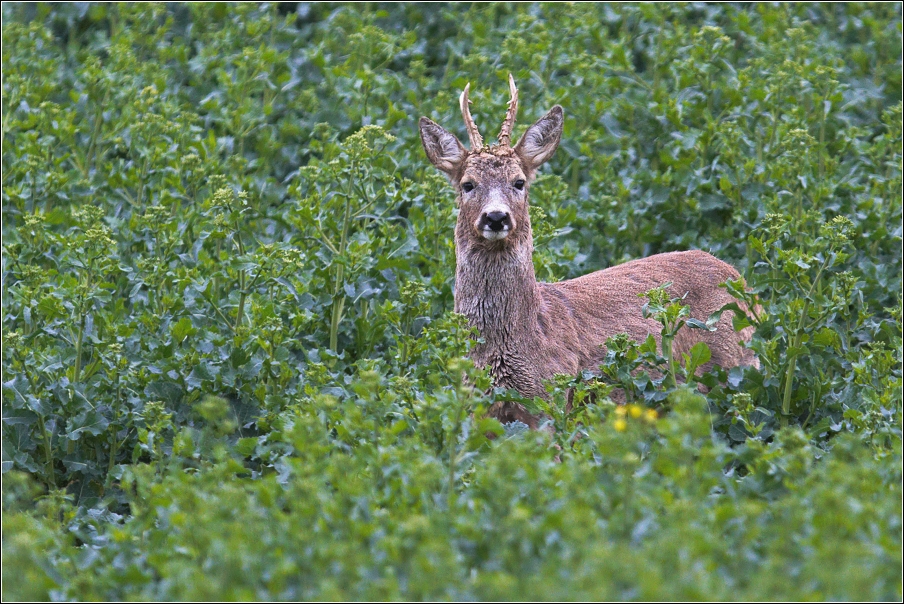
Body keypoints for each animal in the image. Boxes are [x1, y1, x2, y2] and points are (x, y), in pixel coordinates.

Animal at [420, 75, 760, 428]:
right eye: (467, 184)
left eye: (519, 182)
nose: (496, 217)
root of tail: (739, 280)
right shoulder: (479, 407)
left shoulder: (550, 400)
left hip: (735, 365)